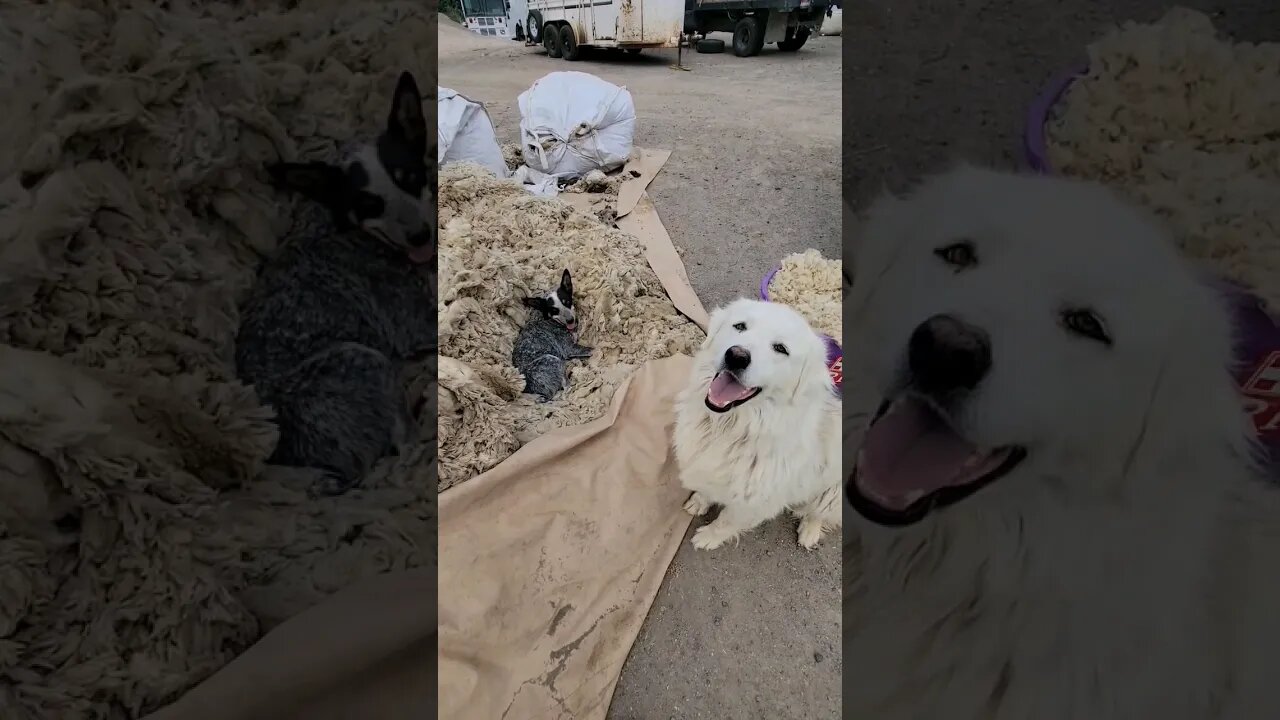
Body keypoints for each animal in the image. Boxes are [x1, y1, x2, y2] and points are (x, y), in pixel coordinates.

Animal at [238, 73, 437, 497]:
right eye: (369, 205)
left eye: (411, 178)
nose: (420, 235)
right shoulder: (412, 321)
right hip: (361, 357)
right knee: (406, 444)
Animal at [512, 270, 591, 404]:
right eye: (554, 310)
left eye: (567, 302)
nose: (570, 320)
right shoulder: (570, 348)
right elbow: (592, 349)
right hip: (552, 359)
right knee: (566, 386)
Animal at [670, 298, 839, 548]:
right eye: (740, 326)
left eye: (780, 348)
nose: (736, 356)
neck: (730, 429)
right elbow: (706, 488)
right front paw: (699, 502)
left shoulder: (753, 504)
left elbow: (725, 523)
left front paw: (708, 538)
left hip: (832, 491)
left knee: (819, 511)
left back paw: (810, 531)